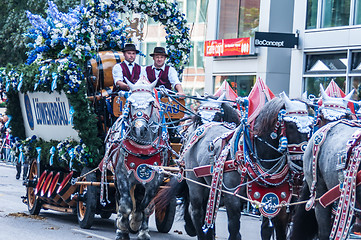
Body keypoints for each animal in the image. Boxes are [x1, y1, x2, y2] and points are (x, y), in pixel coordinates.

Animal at [109, 78, 169, 239]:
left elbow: (145, 206)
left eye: (151, 103)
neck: (142, 150)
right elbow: (125, 206)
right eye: (130, 102)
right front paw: (122, 230)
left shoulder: (155, 179)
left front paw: (141, 229)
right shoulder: (122, 175)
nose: (139, 128)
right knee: (120, 199)